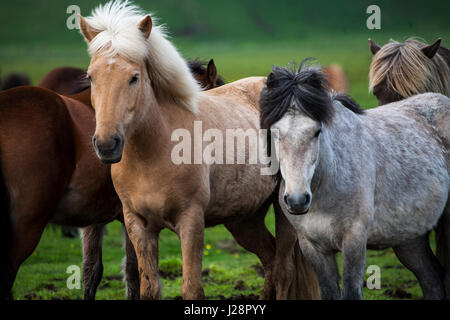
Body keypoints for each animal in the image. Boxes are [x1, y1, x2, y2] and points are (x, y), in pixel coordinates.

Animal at [79, 0, 318, 300]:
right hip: (244, 219)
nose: (106, 143)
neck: (153, 153)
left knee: (284, 270)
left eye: (134, 77)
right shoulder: (138, 226)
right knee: (270, 260)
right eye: (91, 77)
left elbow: (192, 288)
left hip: (285, 207)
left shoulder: (191, 221)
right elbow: (149, 288)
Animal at [258, 60, 450, 300]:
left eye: (317, 131)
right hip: (409, 238)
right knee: (432, 279)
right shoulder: (313, 247)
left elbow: (350, 291)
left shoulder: (354, 240)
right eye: (274, 133)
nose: (297, 200)